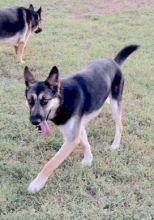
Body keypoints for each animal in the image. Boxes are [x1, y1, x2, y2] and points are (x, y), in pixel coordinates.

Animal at [23, 44, 139, 192]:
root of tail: (114, 62)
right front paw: (89, 159)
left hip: (115, 104)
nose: (34, 121)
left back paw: (116, 144)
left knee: (120, 125)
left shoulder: (71, 139)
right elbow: (85, 142)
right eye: (30, 101)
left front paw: (36, 184)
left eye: (45, 101)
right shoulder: (77, 128)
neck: (63, 100)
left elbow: (51, 163)